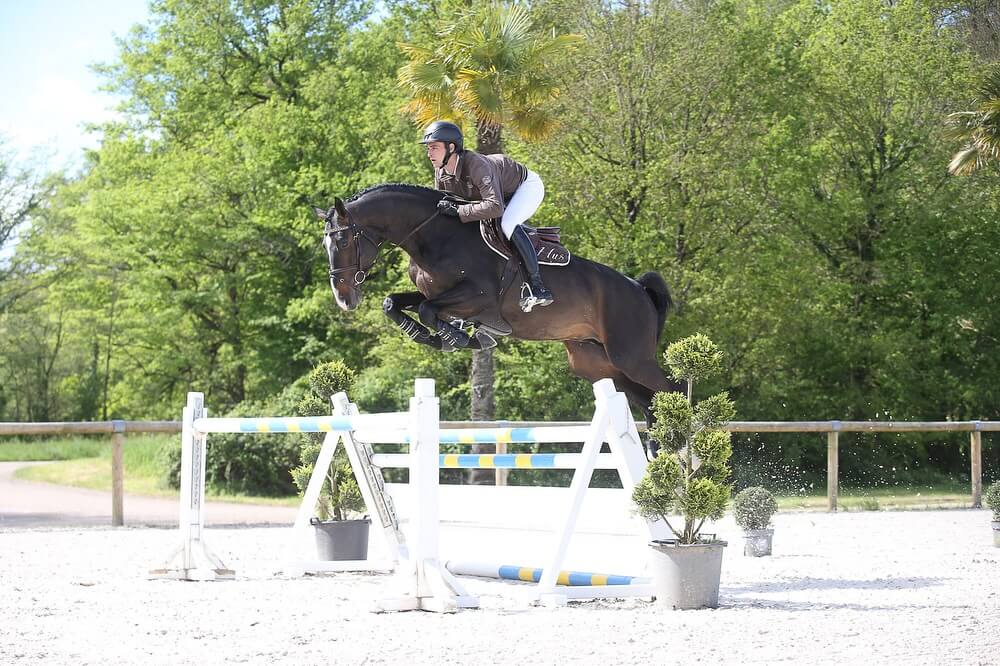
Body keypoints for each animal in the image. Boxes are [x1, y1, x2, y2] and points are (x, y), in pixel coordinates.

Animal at [316, 183, 682, 447]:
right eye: (326, 245)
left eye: (344, 241)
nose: (344, 299)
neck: (433, 237)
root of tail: (638, 287)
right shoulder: (436, 294)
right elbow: (394, 303)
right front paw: (430, 334)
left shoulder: (477, 298)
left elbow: (427, 309)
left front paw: (457, 337)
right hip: (598, 363)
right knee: (649, 401)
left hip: (630, 357)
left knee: (673, 389)